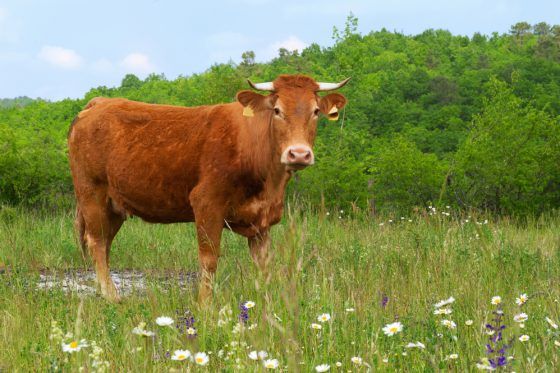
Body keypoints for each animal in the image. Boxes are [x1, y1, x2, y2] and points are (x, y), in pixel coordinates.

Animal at [68, 74, 348, 300]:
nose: (298, 154)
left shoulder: (262, 220)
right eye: (277, 110)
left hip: (114, 205)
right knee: (96, 241)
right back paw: (110, 295)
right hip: (91, 193)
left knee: (105, 243)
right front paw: (205, 306)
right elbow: (209, 259)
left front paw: (265, 304)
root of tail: (100, 102)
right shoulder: (207, 203)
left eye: (315, 111)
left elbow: (263, 265)